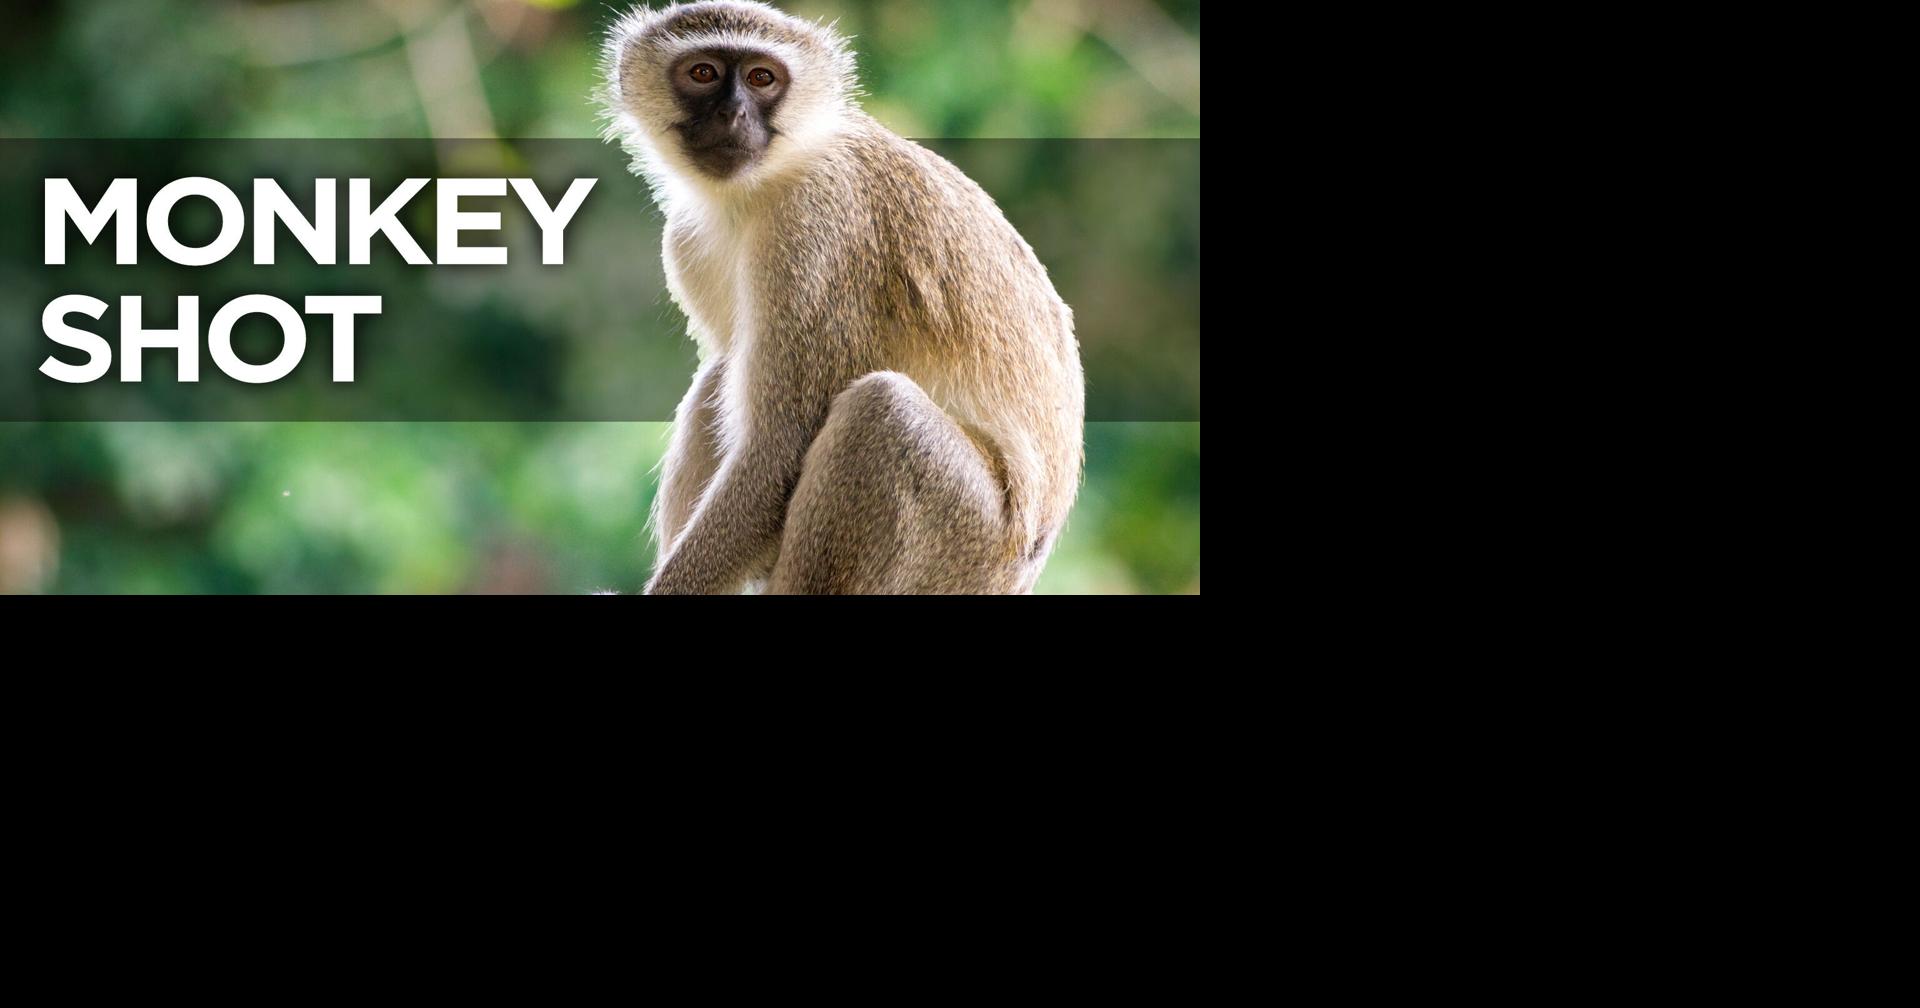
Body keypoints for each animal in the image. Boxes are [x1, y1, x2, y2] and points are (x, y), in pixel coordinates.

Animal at [600, 0, 1084, 594]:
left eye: (761, 79)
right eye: (703, 73)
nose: (733, 114)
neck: (763, 183)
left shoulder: (816, 227)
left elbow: (779, 450)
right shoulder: (685, 241)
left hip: (968, 547)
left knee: (883, 412)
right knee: (722, 376)